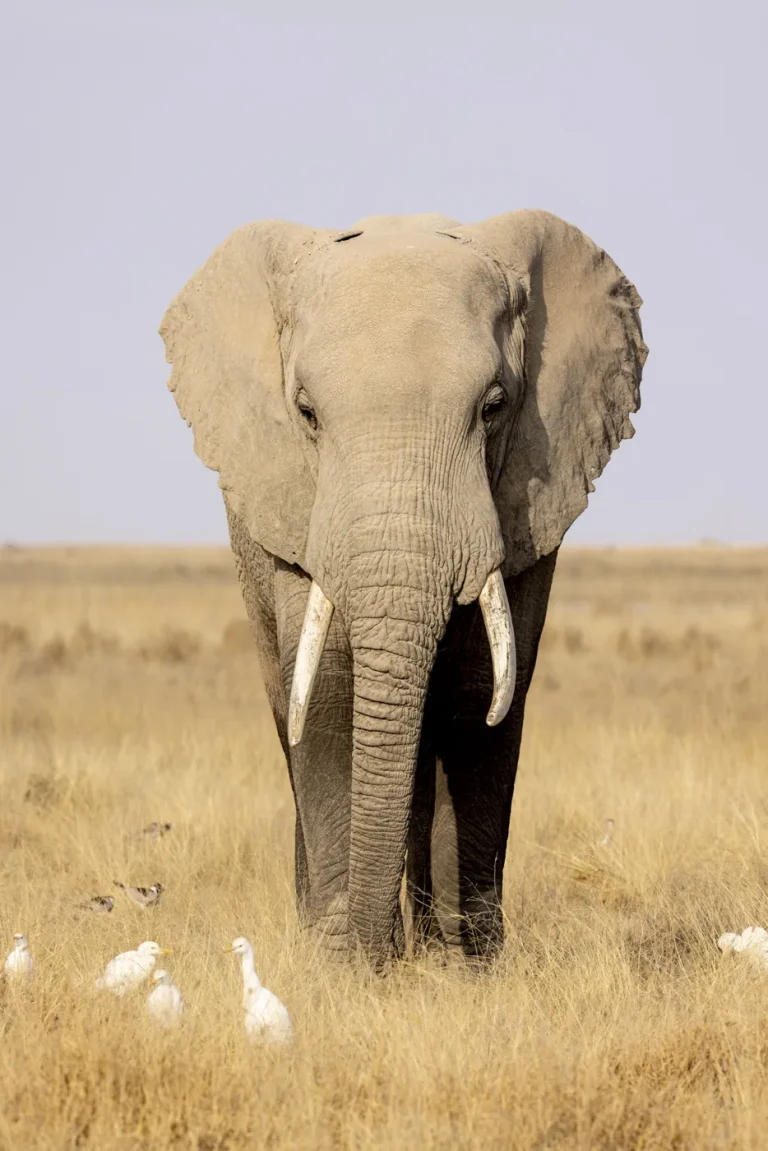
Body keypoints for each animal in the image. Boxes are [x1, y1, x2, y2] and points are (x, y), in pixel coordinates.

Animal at [160, 209, 647, 969]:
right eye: (306, 413)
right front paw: (342, 965)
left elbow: (480, 691)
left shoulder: (526, 499)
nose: (374, 954)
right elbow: (330, 686)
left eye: (495, 406)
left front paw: (464, 969)